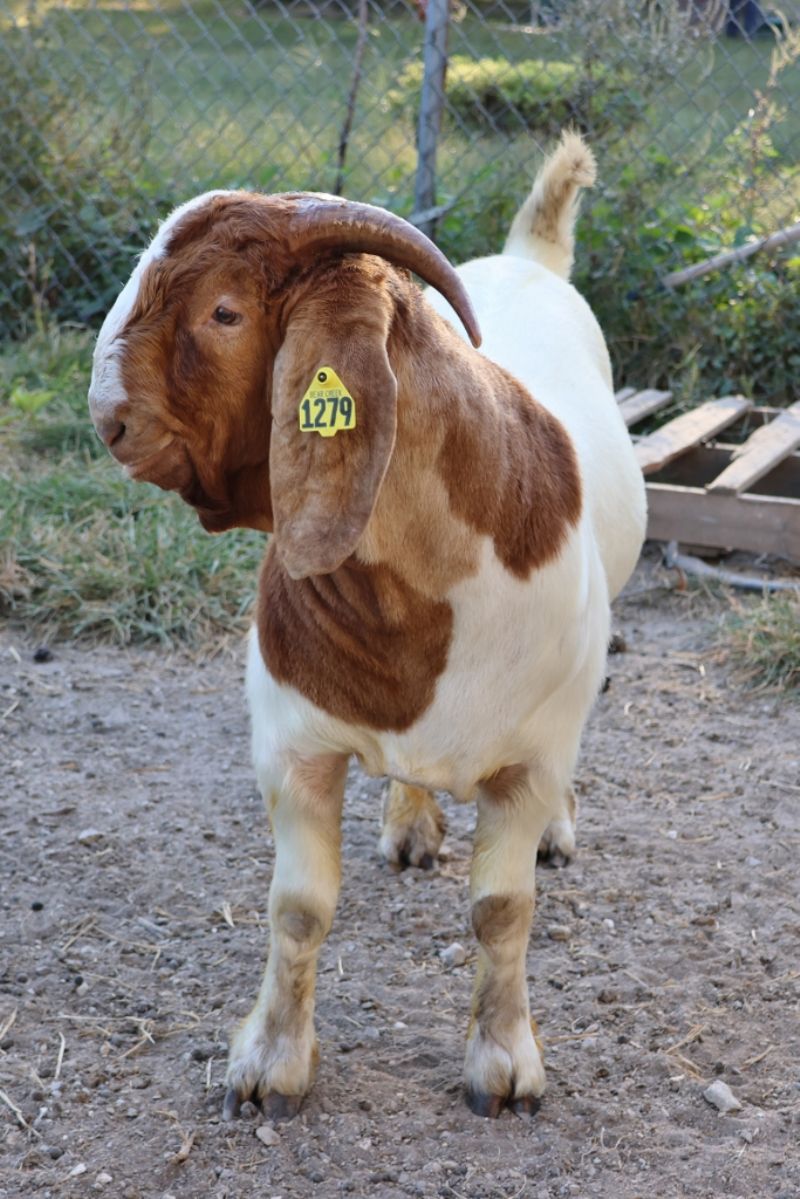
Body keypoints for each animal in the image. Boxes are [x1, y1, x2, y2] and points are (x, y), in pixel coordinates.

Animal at [89, 133, 652, 1122]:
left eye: (224, 311)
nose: (106, 415)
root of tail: (530, 255)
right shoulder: (294, 743)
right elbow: (299, 908)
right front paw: (270, 1065)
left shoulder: (530, 759)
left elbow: (503, 910)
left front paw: (505, 1065)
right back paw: (411, 822)